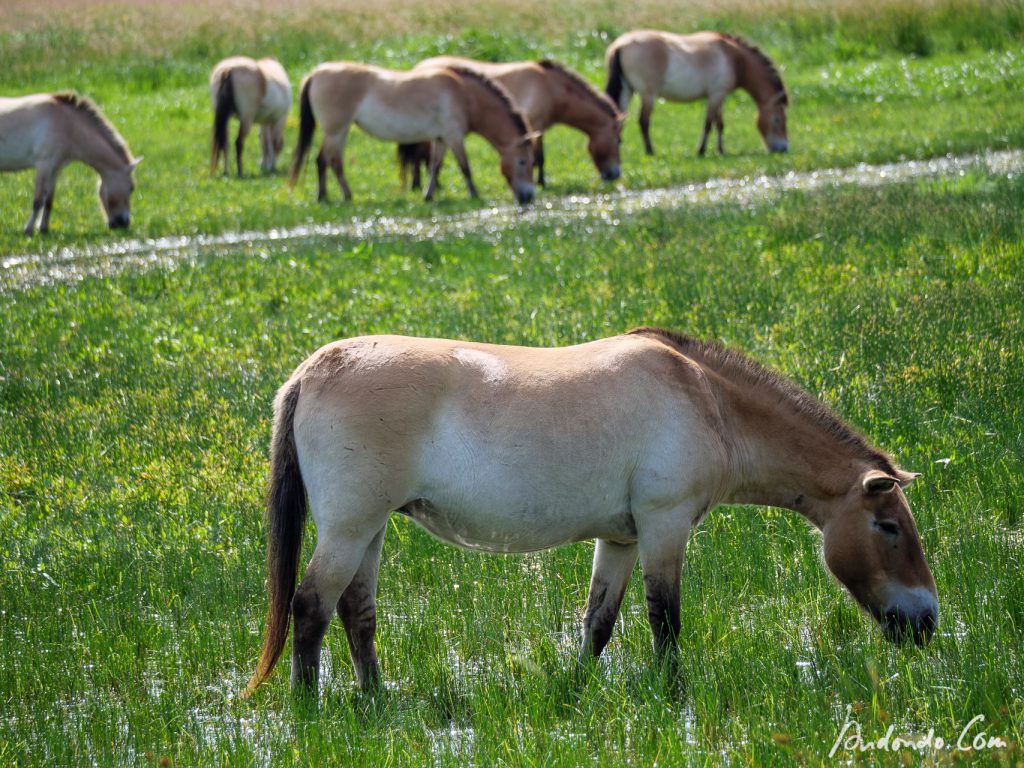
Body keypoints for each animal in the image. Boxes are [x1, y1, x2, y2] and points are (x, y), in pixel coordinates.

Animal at [0, 92, 140, 234]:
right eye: (131, 188)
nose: (124, 223)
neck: (67, 125)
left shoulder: (56, 168)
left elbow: (49, 200)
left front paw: (44, 228)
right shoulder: (43, 165)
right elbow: (38, 200)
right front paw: (28, 229)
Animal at [243, 327, 937, 700]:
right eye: (888, 527)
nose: (926, 622)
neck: (707, 400)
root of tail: (311, 370)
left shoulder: (622, 539)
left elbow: (598, 625)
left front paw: (571, 693)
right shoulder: (663, 527)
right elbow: (665, 622)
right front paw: (676, 699)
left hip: (370, 530)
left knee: (356, 613)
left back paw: (375, 701)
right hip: (350, 528)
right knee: (310, 606)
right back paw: (309, 707)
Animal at [290, 63, 536, 205]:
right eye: (523, 161)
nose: (529, 197)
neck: (465, 95)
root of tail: (315, 74)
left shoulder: (441, 139)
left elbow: (435, 166)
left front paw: (428, 195)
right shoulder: (454, 136)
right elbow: (465, 167)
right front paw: (474, 195)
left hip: (339, 131)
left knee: (327, 160)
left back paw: (330, 195)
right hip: (336, 130)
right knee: (328, 160)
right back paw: (336, 196)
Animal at [399, 57, 622, 188]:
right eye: (619, 141)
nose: (614, 175)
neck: (551, 87)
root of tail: (420, 66)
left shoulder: (537, 130)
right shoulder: (534, 126)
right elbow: (539, 158)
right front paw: (541, 182)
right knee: (419, 154)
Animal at [606, 30, 790, 156]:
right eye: (777, 119)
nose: (783, 148)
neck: (734, 59)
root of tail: (621, 45)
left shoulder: (720, 97)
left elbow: (720, 124)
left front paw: (721, 150)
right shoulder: (715, 95)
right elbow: (708, 124)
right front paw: (701, 150)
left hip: (627, 91)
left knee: (620, 116)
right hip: (647, 95)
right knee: (643, 121)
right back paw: (650, 151)